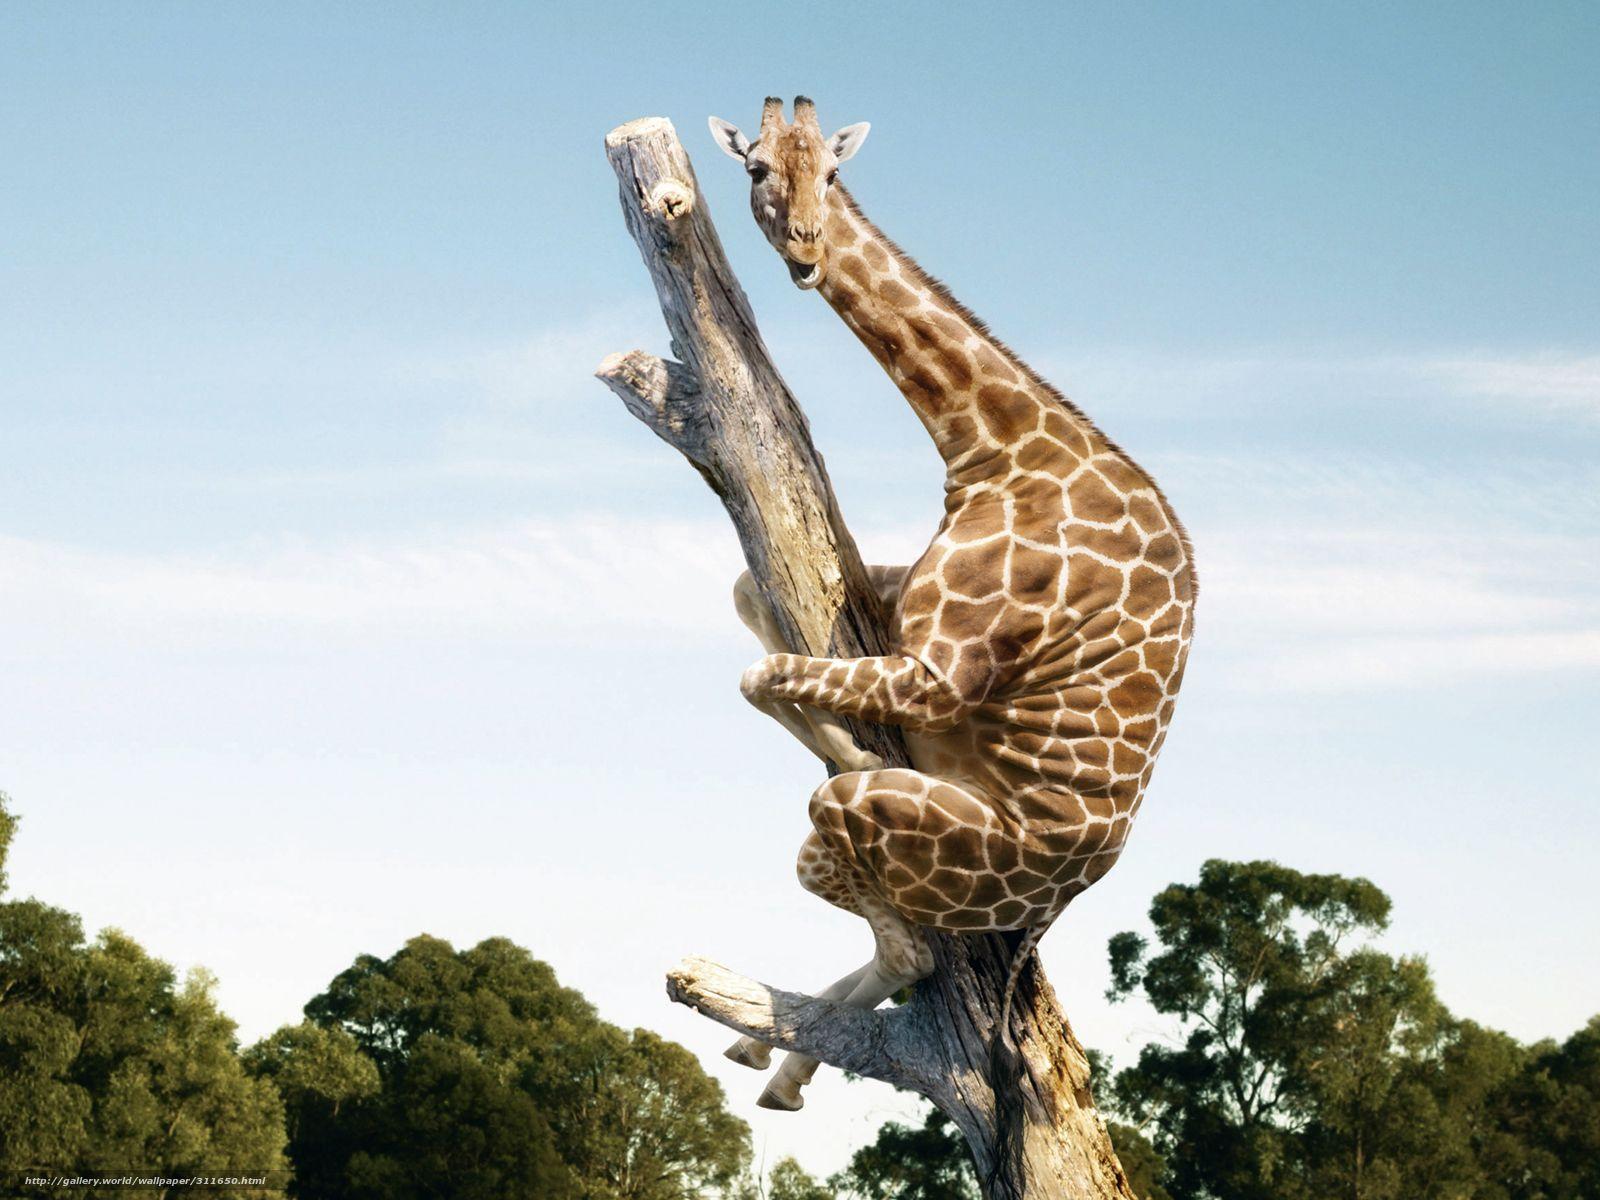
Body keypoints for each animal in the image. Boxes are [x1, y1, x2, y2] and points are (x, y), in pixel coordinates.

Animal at [707, 97, 1197, 1112]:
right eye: (758, 168)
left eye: (834, 175)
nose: (807, 252)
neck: (996, 447)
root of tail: (1057, 900)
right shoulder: (894, 613)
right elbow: (748, 607)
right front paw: (835, 727)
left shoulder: (939, 675)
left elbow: (760, 673)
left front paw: (850, 740)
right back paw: (768, 1062)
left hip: (885, 831)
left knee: (906, 945)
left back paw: (779, 1063)